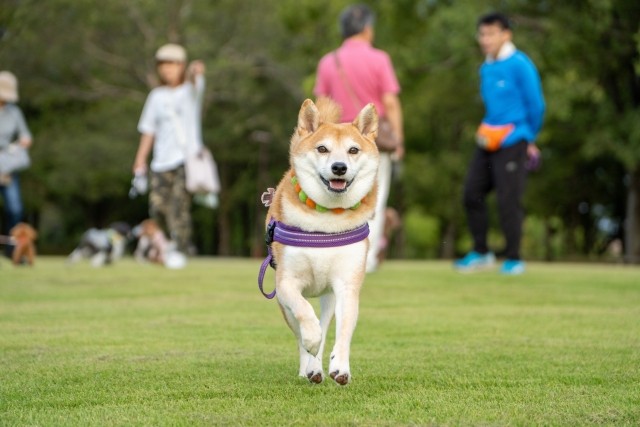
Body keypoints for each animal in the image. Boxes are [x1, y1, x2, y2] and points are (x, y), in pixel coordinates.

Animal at [258, 98, 380, 386]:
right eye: (322, 148)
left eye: (353, 150)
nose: (339, 167)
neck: (325, 221)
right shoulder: (286, 283)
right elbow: (304, 314)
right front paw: (311, 342)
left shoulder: (347, 286)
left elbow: (343, 331)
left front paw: (341, 367)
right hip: (283, 303)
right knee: (301, 331)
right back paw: (309, 366)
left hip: (329, 297)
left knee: (325, 326)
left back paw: (317, 367)